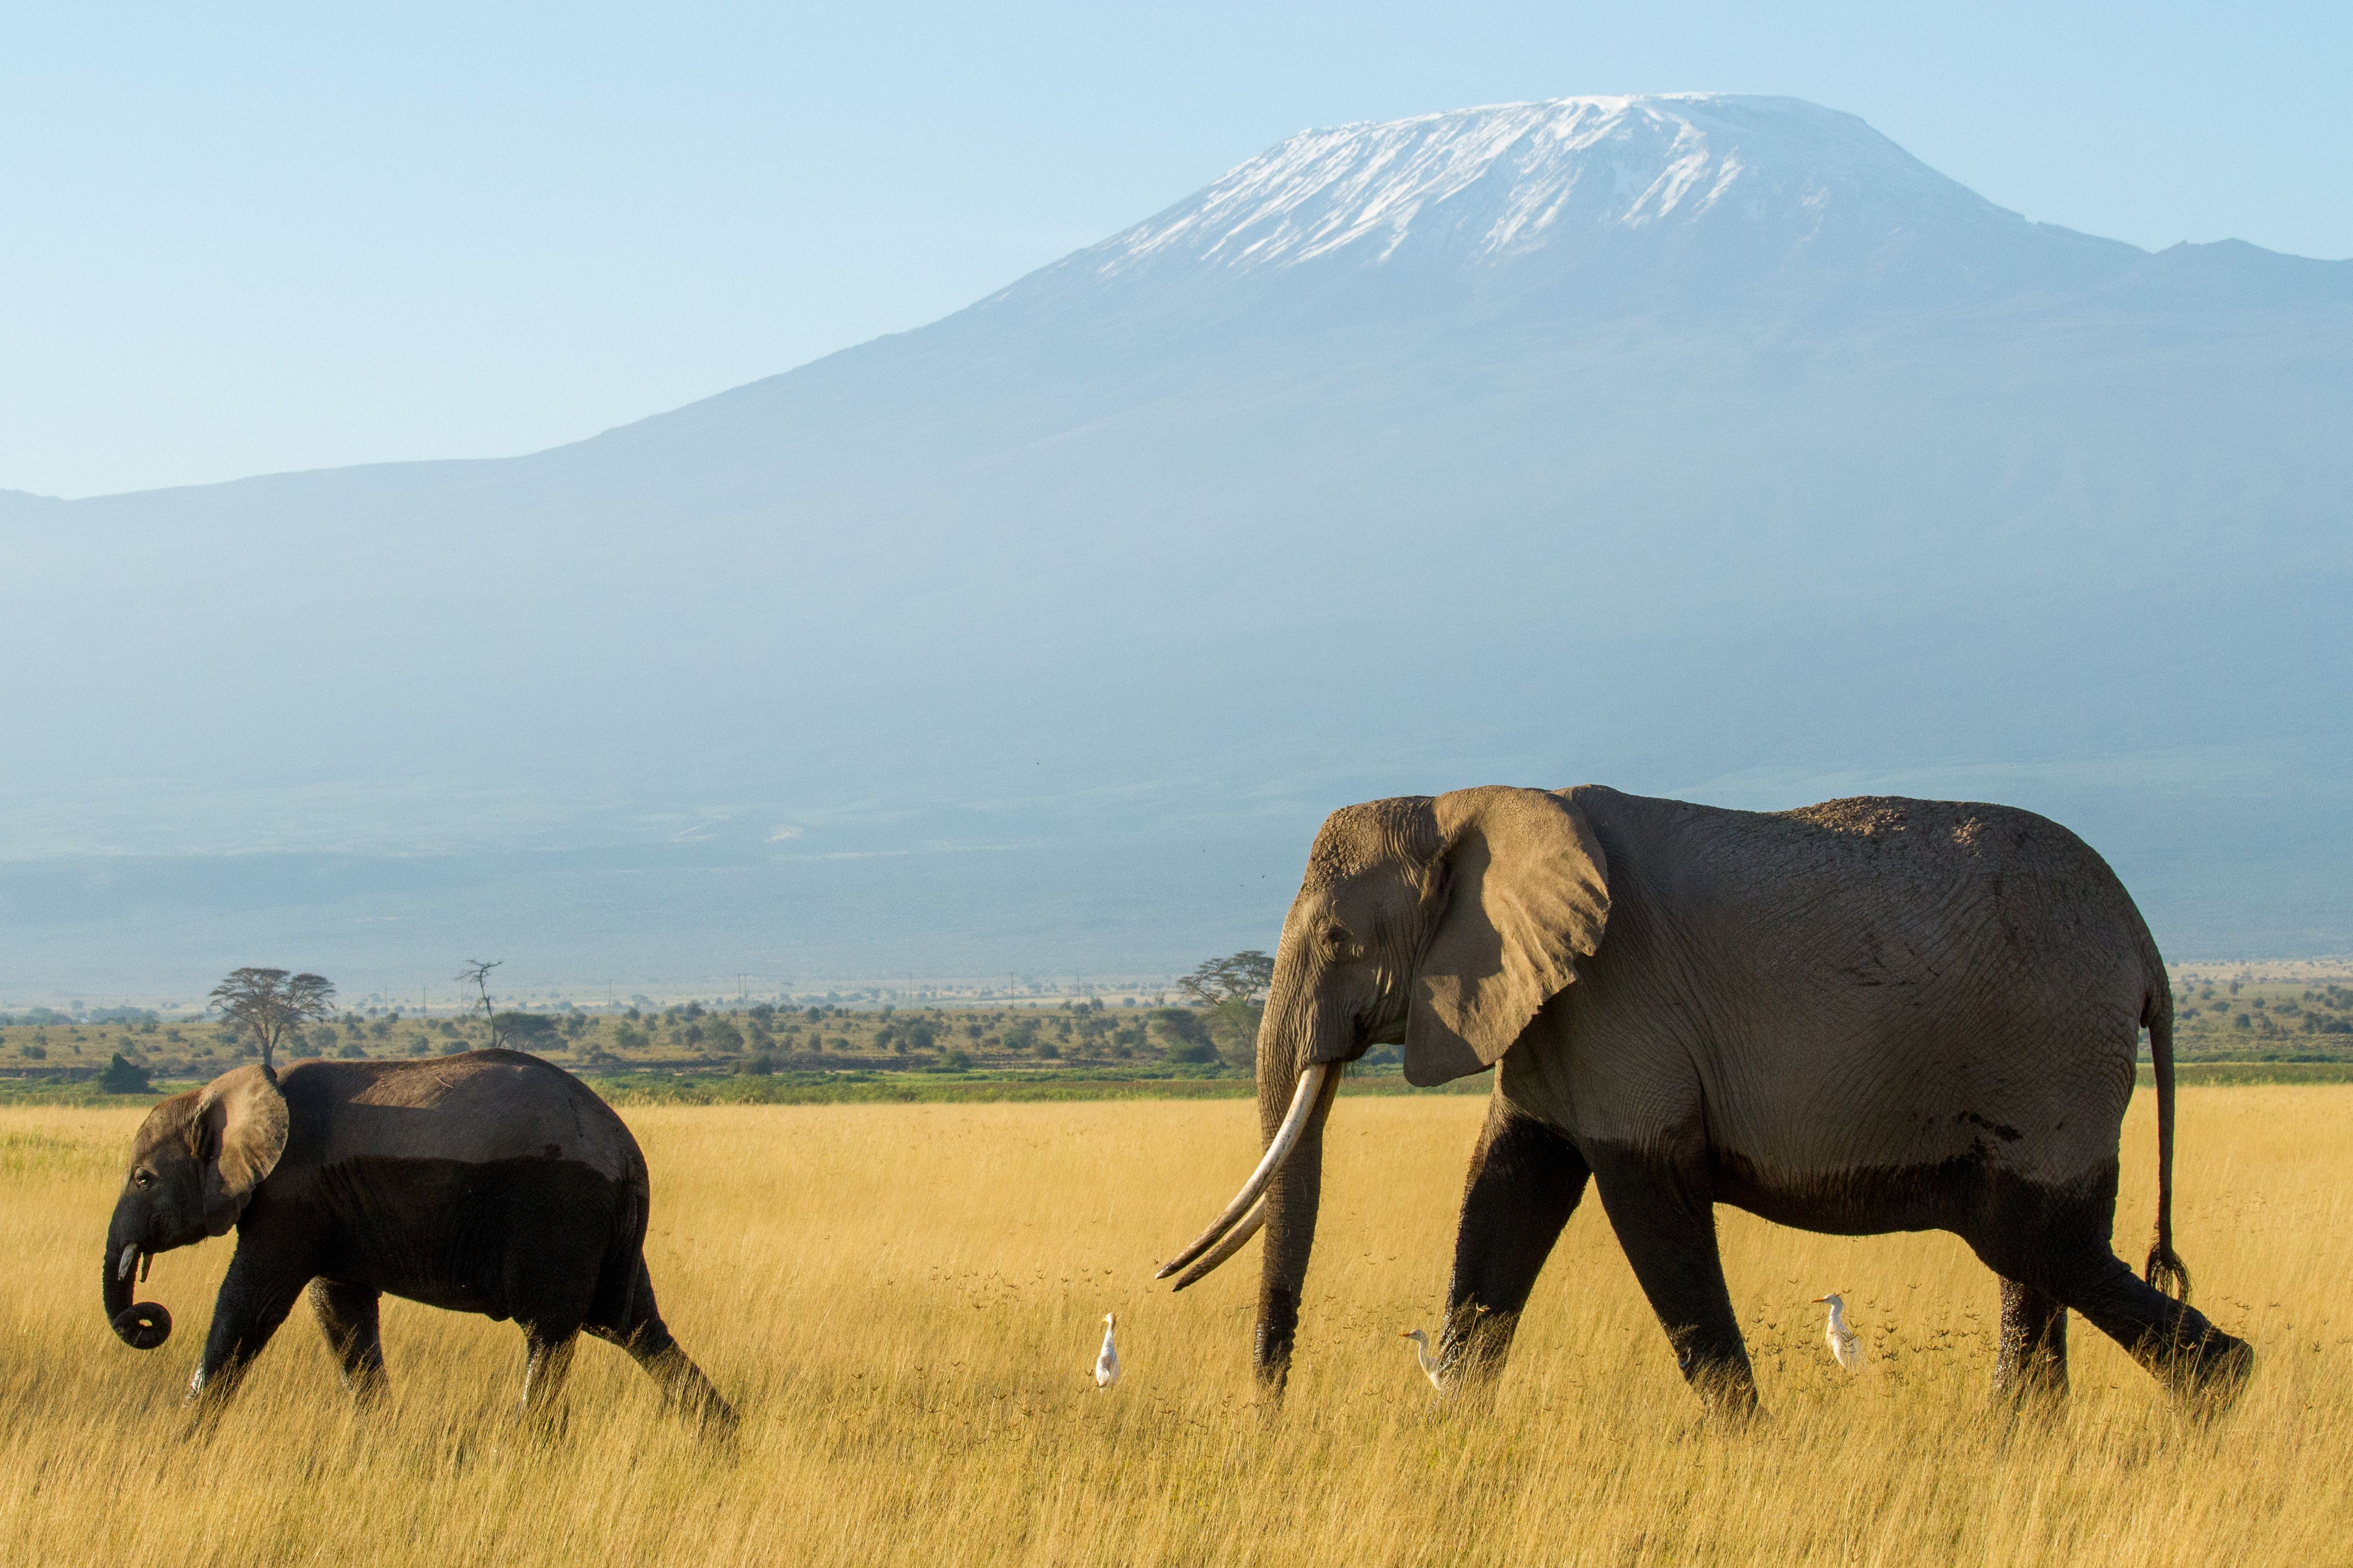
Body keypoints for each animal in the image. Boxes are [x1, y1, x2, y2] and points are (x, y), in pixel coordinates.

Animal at [105, 1049, 735, 1431]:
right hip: (601, 1227)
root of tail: (628, 1153)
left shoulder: (290, 1197)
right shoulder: (328, 1204)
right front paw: (378, 1438)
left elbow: (250, 1306)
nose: (148, 1316)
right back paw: (724, 1443)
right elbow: (340, 1312)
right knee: (634, 1326)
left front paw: (183, 1438)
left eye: (143, 1179)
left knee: (551, 1332)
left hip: (560, 1211)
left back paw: (522, 1449)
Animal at [1159, 785, 2253, 1416]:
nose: (1271, 1416)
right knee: (2031, 1251)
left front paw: (1746, 1438)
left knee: (2031, 1232)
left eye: (1337, 939)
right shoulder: (1553, 1004)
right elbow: (1506, 1192)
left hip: (2048, 1053)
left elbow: (1648, 1202)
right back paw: (2024, 1442)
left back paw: (2217, 1396)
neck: (1469, 802)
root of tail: (2144, 945)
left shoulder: (1617, 995)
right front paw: (1451, 1425)